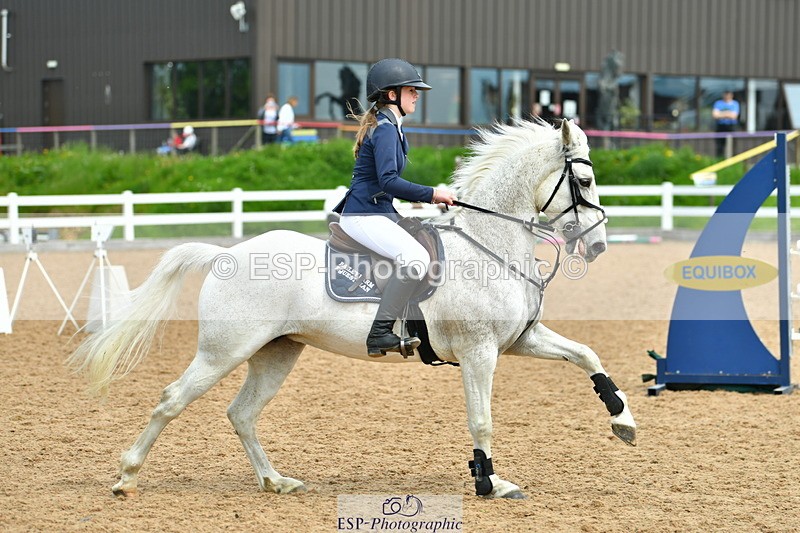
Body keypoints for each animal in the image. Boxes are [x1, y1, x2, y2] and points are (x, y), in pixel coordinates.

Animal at [68, 118, 636, 500]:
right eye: (585, 182)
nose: (598, 246)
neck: (488, 244)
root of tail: (225, 254)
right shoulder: (480, 352)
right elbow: (482, 420)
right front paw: (490, 483)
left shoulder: (518, 341)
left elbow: (586, 354)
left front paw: (623, 420)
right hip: (222, 351)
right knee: (171, 401)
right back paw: (126, 477)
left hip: (277, 352)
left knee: (242, 413)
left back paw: (275, 481)